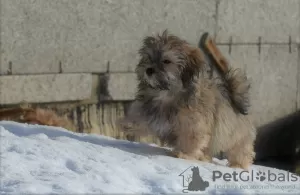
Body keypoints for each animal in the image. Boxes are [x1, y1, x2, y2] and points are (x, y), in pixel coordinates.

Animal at [117, 30, 255, 169]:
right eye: (148, 57)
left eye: (166, 61)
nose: (149, 70)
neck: (166, 94)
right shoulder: (152, 113)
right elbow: (142, 117)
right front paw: (128, 124)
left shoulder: (194, 123)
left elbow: (191, 138)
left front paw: (184, 154)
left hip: (237, 137)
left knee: (240, 150)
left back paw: (238, 165)